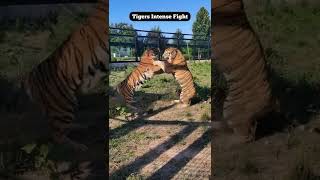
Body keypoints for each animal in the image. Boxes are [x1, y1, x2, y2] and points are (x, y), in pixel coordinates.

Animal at [22, 0, 109, 152]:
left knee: (59, 129)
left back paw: (81, 126)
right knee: (56, 136)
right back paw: (79, 146)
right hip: (63, 104)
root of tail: (30, 75)